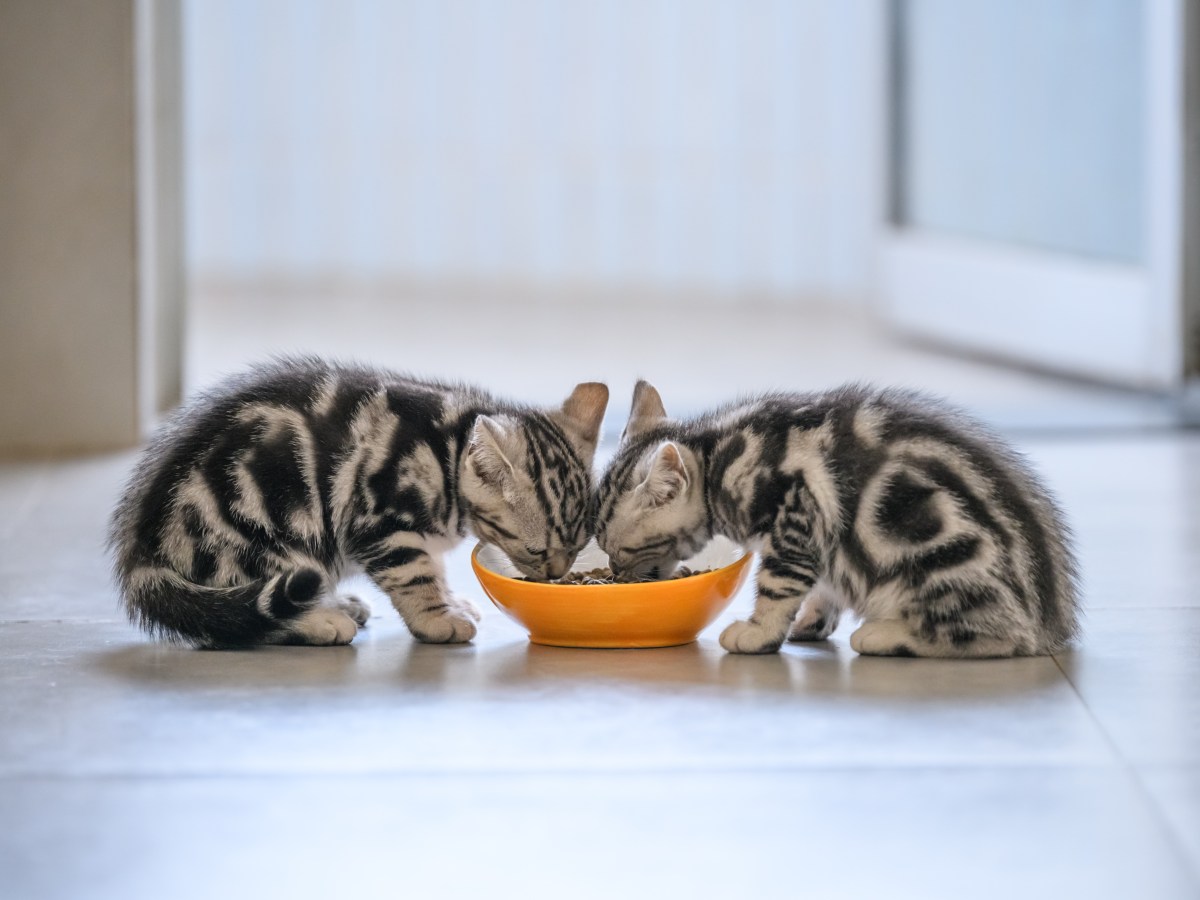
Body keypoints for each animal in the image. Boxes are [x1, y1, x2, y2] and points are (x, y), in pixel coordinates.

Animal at [111, 357, 609, 648]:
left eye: (578, 545)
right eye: (537, 550)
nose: (557, 575)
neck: (446, 451)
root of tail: (141, 556)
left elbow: (435, 568)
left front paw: (450, 601)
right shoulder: (381, 521)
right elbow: (416, 577)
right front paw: (437, 618)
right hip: (264, 533)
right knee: (243, 615)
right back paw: (318, 622)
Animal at [597, 379, 1080, 657]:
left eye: (619, 550)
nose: (617, 576)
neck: (718, 459)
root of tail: (1049, 624)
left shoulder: (793, 520)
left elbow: (778, 587)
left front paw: (758, 633)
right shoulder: (824, 540)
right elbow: (826, 586)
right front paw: (811, 622)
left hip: (937, 556)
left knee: (996, 637)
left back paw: (887, 635)